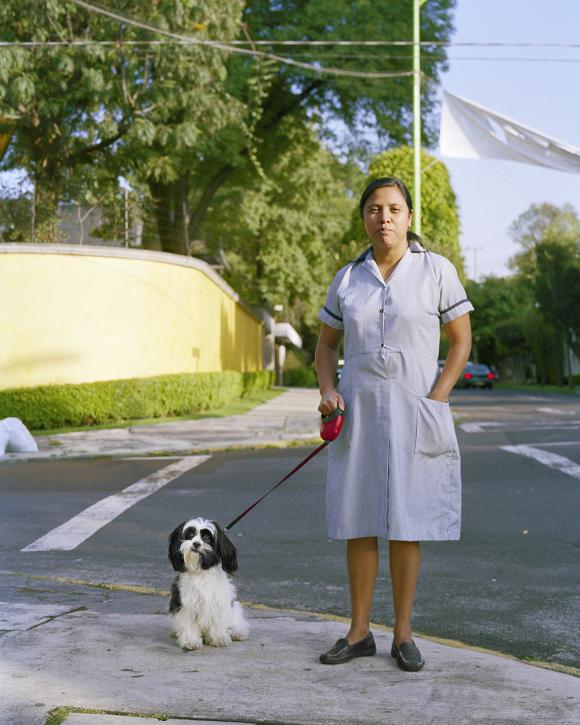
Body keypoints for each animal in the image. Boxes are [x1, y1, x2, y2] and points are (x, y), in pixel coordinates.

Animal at [167, 516, 250, 652]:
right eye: (190, 535)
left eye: (206, 538)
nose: (196, 544)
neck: (200, 572)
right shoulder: (186, 602)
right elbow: (188, 623)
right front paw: (190, 641)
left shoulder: (218, 601)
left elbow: (217, 621)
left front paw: (219, 638)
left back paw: (237, 632)